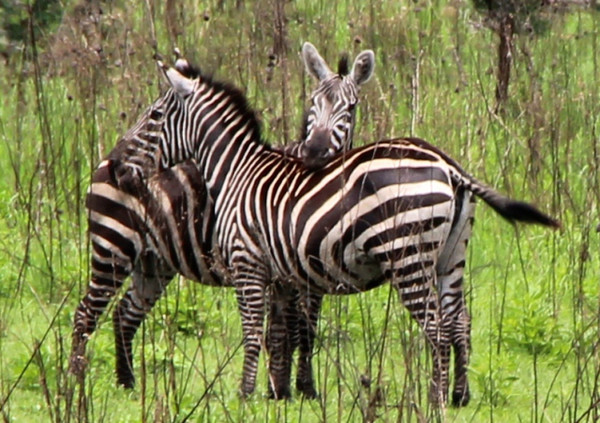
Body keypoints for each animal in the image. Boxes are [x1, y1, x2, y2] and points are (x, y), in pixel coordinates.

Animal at [69, 44, 376, 400]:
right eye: (313, 104)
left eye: (350, 108)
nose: (316, 152)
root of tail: (105, 161)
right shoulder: (280, 272)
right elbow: (285, 331)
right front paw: (282, 390)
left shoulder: (303, 275)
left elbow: (303, 330)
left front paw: (296, 390)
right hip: (113, 247)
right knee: (86, 314)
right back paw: (76, 383)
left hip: (154, 263)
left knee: (124, 314)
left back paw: (127, 384)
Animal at [130, 54, 556, 406]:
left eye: (154, 115)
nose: (121, 163)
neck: (237, 170)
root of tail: (448, 165)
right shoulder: (285, 272)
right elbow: (285, 333)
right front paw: (281, 393)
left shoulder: (247, 262)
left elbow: (253, 332)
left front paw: (246, 395)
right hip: (452, 256)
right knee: (459, 322)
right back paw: (459, 397)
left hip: (408, 256)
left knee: (436, 327)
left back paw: (434, 400)